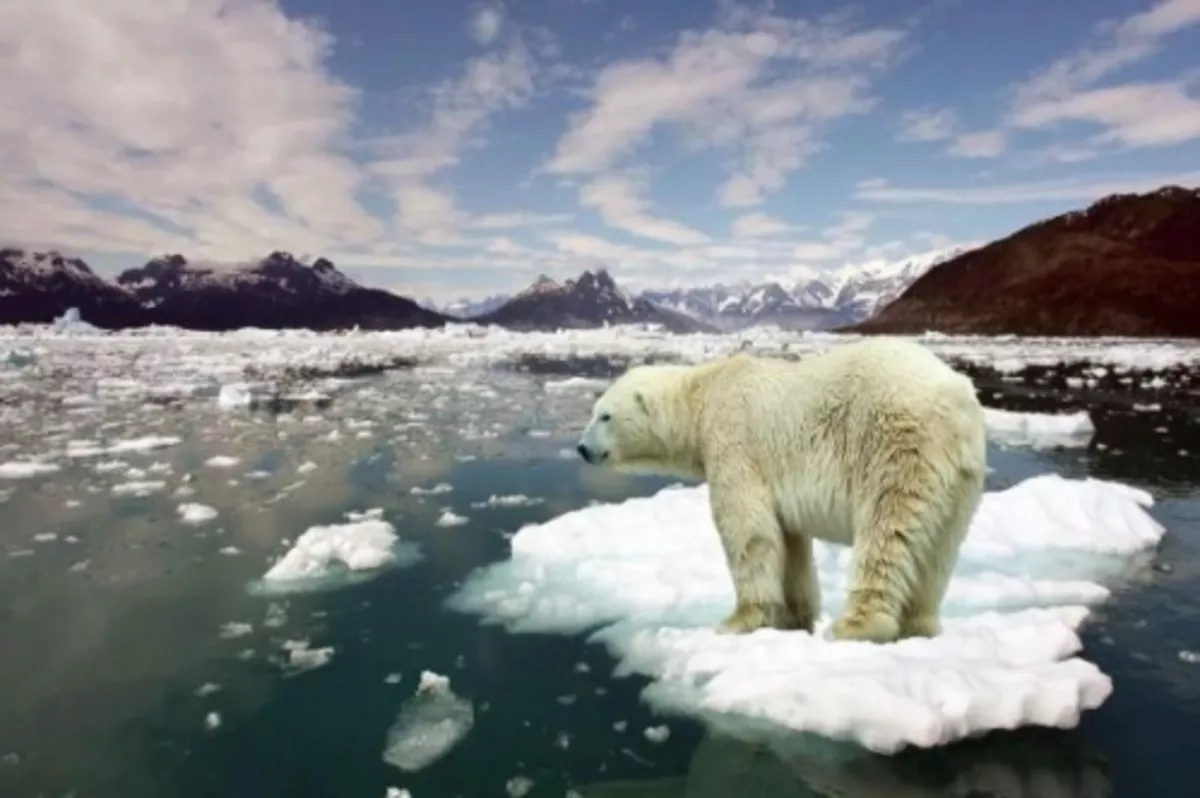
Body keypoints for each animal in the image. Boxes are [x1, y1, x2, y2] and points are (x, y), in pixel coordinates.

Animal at [578, 336, 984, 643]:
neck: (702, 395)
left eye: (605, 416)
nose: (582, 449)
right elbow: (789, 543)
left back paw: (854, 625)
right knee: (939, 548)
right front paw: (794, 618)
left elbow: (748, 530)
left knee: (886, 532)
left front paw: (738, 620)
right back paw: (920, 625)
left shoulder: (734, 443)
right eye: (595, 411)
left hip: (896, 445)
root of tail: (956, 400)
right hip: (961, 478)